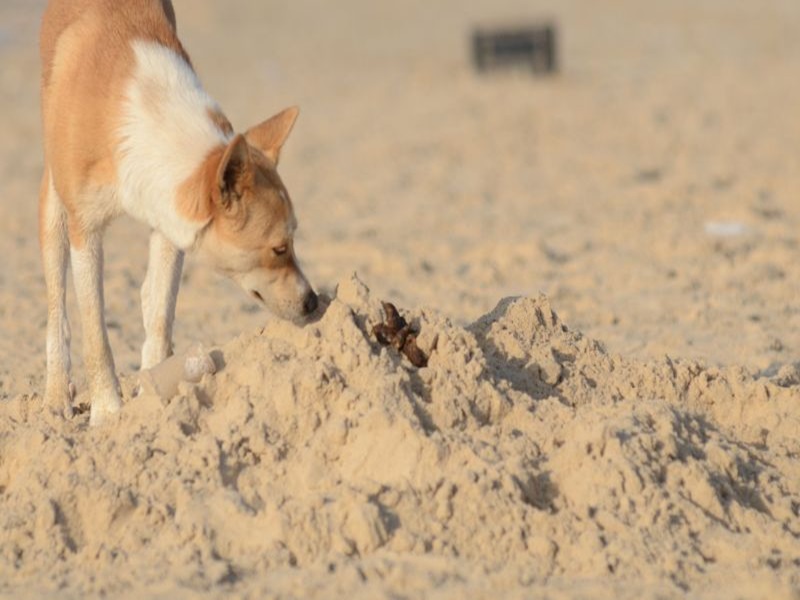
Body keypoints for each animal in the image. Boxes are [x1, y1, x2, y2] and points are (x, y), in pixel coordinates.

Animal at [39, 0, 316, 424]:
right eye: (279, 249)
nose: (313, 302)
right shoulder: (85, 231)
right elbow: (95, 329)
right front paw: (108, 410)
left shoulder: (170, 225)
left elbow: (160, 315)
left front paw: (154, 393)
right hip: (55, 204)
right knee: (57, 305)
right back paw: (56, 394)